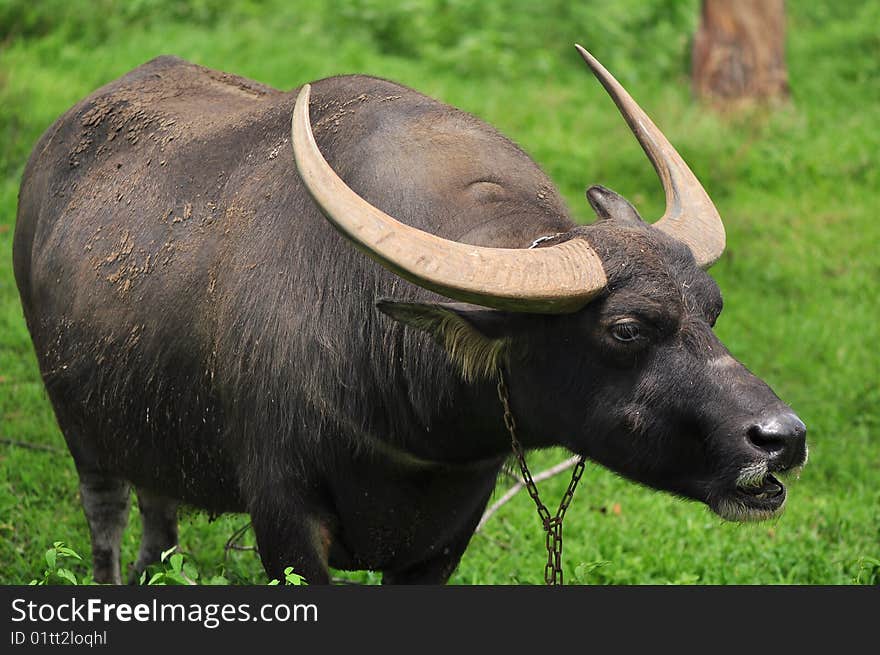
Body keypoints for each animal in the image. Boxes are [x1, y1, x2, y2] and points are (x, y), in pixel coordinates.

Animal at [13, 46, 808, 584]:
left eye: (712, 307)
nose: (782, 439)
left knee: (159, 531)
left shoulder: (443, 539)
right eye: (626, 329)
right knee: (109, 526)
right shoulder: (285, 523)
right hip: (82, 435)